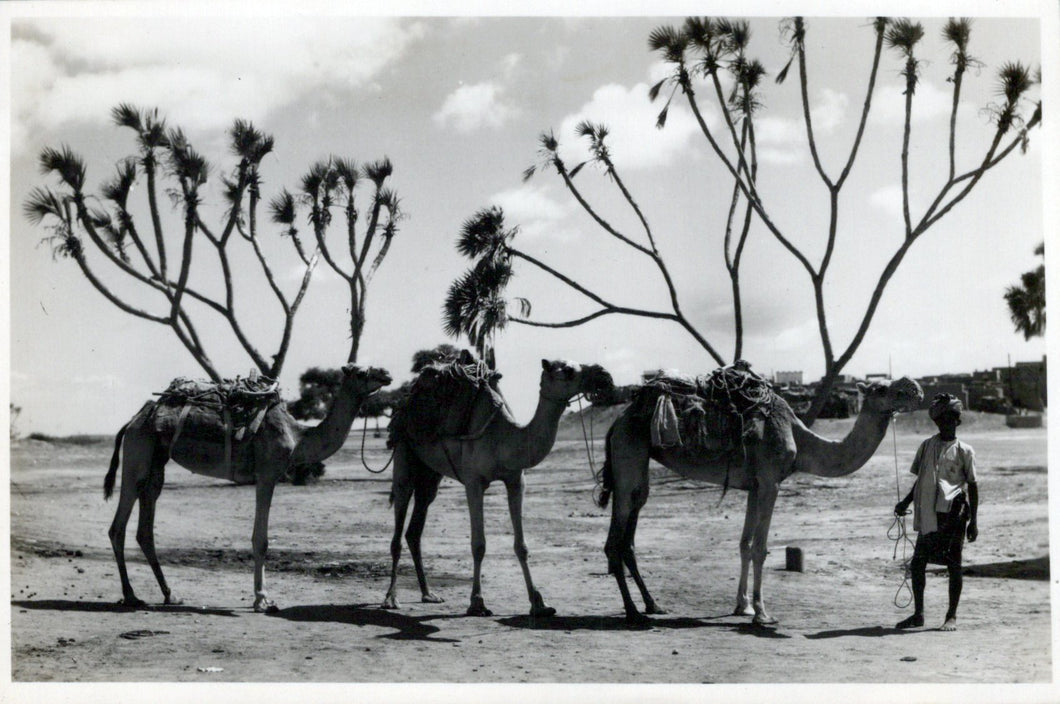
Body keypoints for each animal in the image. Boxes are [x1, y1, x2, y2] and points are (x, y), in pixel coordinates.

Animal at [103, 364, 391, 612]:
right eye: (361, 372)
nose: (386, 374)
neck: (297, 437)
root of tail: (132, 421)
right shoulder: (266, 475)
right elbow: (261, 539)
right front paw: (262, 600)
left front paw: (263, 597)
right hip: (138, 454)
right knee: (118, 526)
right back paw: (131, 596)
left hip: (156, 465)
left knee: (145, 530)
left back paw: (170, 595)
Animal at [381, 358, 614, 617]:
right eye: (569, 370)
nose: (604, 375)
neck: (503, 437)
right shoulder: (473, 482)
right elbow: (478, 544)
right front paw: (477, 602)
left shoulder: (516, 480)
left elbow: (521, 546)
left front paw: (539, 603)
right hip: (405, 452)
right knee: (399, 519)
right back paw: (391, 598)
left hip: (431, 474)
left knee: (416, 526)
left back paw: (429, 594)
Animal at [599, 372, 923, 625]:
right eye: (881, 388)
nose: (916, 390)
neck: (800, 441)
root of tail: (616, 423)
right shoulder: (770, 483)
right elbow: (760, 548)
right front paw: (762, 613)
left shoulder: (754, 487)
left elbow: (744, 544)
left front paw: (742, 606)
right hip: (629, 450)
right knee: (614, 539)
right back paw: (633, 613)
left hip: (637, 463)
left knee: (631, 528)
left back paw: (653, 604)